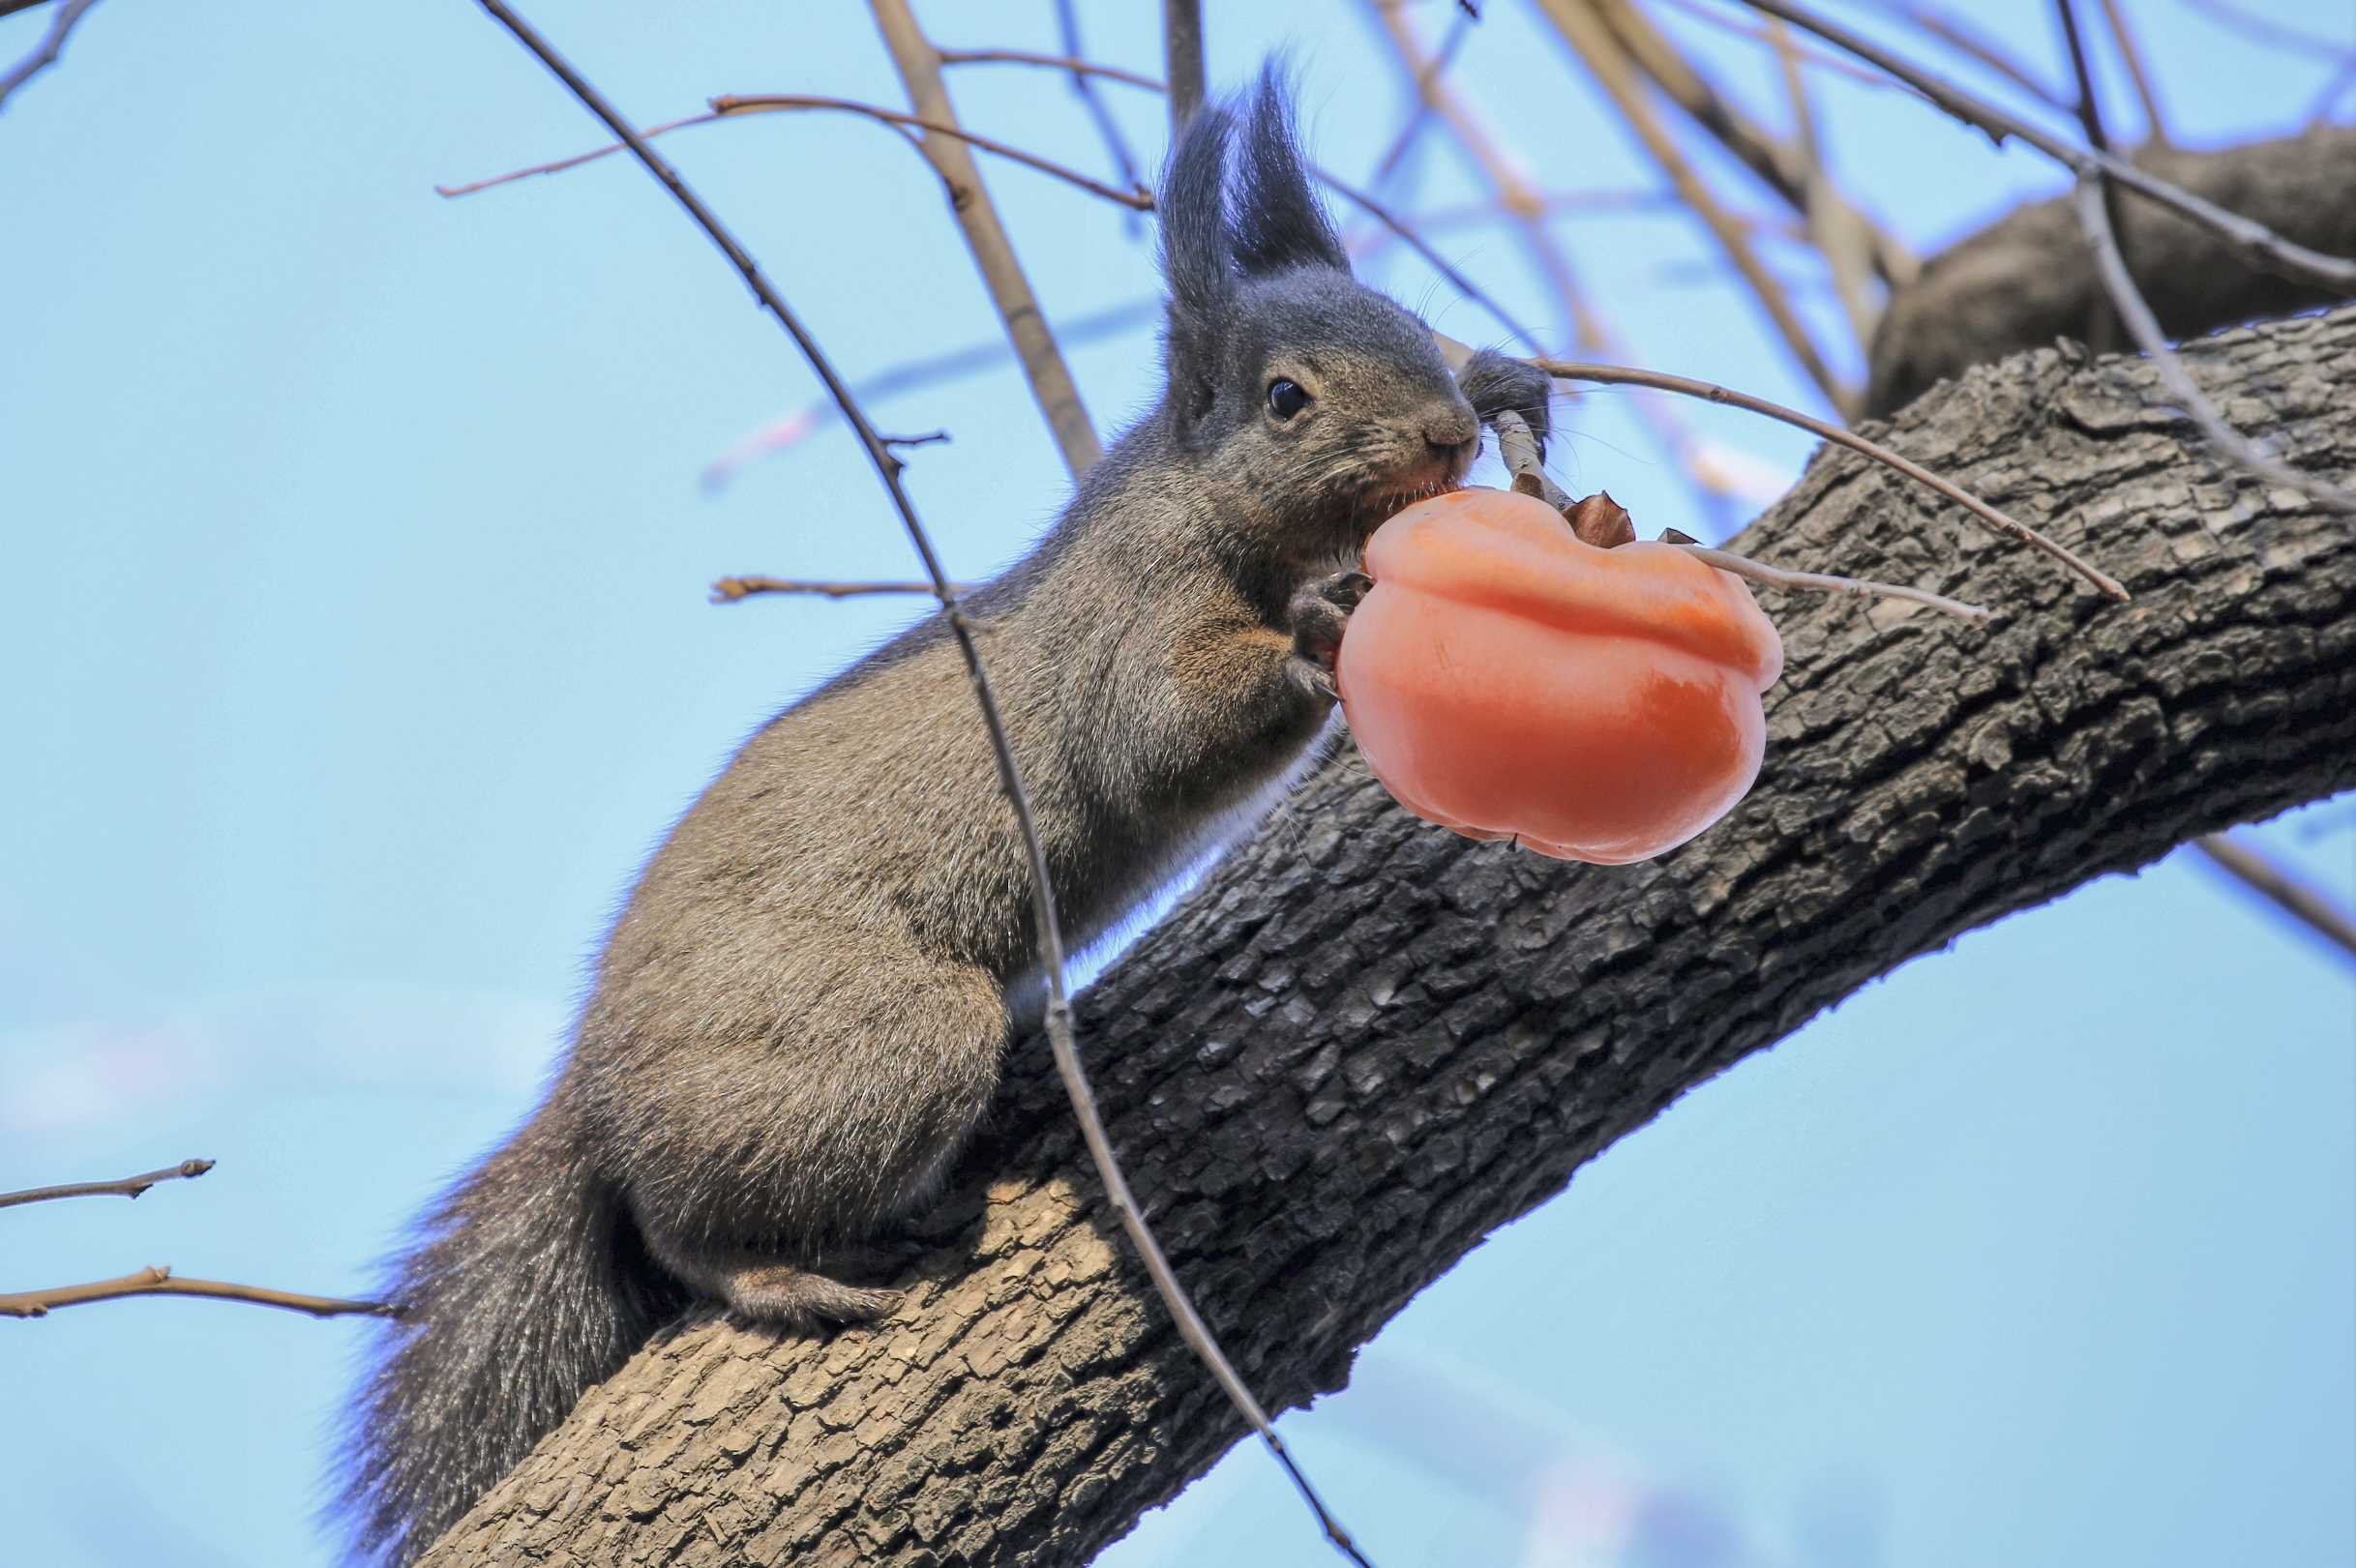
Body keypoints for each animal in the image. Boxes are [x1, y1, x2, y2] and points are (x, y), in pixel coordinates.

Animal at [332, 76, 1545, 1563]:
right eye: (1283, 401)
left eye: (1413, 325)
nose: (1444, 433)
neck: (1197, 500)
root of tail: (595, 1089)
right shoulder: (1127, 621)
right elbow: (1158, 730)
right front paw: (1320, 626)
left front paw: (1510, 380)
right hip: (873, 1043)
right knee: (683, 1230)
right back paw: (778, 1270)